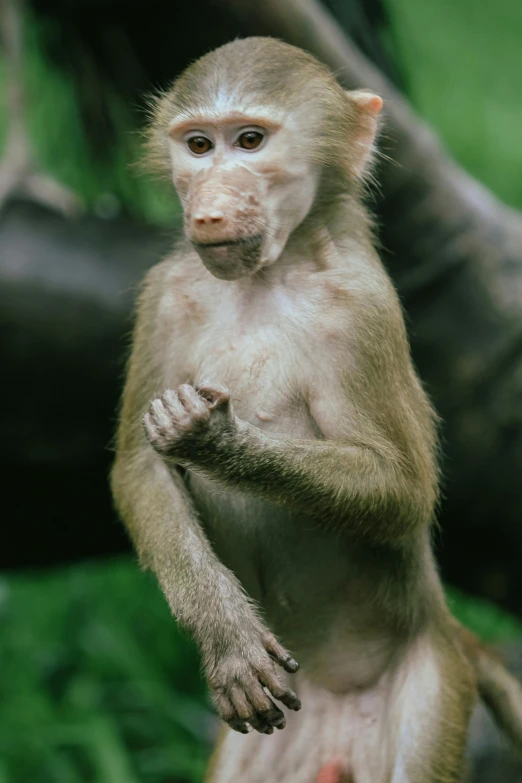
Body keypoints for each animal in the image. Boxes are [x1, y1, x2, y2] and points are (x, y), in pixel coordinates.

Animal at [110, 36, 522, 783]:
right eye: (198, 145)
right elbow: (138, 466)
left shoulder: (365, 313)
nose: (207, 212)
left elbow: (404, 492)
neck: (266, 278)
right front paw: (229, 641)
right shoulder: (163, 293)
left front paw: (216, 441)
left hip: (433, 683)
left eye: (250, 140)